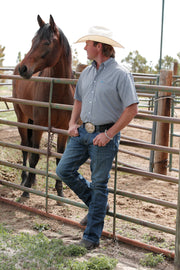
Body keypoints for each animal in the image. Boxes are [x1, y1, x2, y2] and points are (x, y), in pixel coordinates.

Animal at [12, 15, 74, 199]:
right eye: (33, 41)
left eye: (46, 43)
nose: (23, 68)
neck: (58, 91)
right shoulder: (40, 125)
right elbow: (34, 157)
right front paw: (26, 191)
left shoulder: (63, 129)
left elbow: (59, 157)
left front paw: (60, 191)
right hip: (22, 118)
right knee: (26, 147)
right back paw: (25, 178)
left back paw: (31, 179)